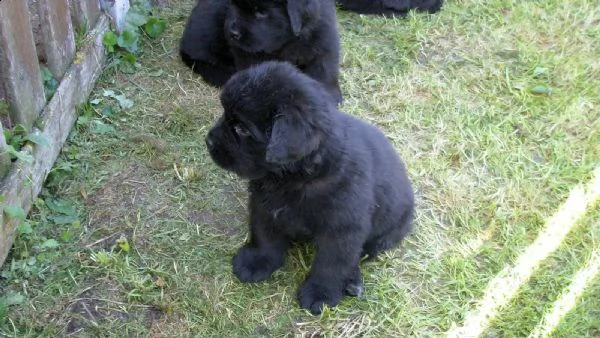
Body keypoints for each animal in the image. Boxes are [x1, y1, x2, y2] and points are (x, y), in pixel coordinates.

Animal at [178, 0, 342, 103]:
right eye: (233, 4)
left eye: (261, 12)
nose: (232, 33)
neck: (288, 41)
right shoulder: (247, 53)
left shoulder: (325, 39)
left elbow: (325, 69)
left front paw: (329, 95)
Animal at [206, 60, 418, 314]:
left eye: (242, 129)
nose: (208, 141)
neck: (294, 179)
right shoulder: (263, 205)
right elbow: (264, 235)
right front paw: (257, 261)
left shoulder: (342, 230)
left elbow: (332, 264)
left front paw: (321, 294)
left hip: (385, 234)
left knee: (361, 254)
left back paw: (352, 280)